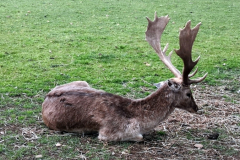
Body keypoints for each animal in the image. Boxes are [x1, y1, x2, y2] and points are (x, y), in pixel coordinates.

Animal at [41, 12, 206, 142]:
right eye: (188, 93)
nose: (196, 108)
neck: (138, 118)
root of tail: (45, 98)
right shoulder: (108, 132)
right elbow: (139, 137)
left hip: (83, 82)